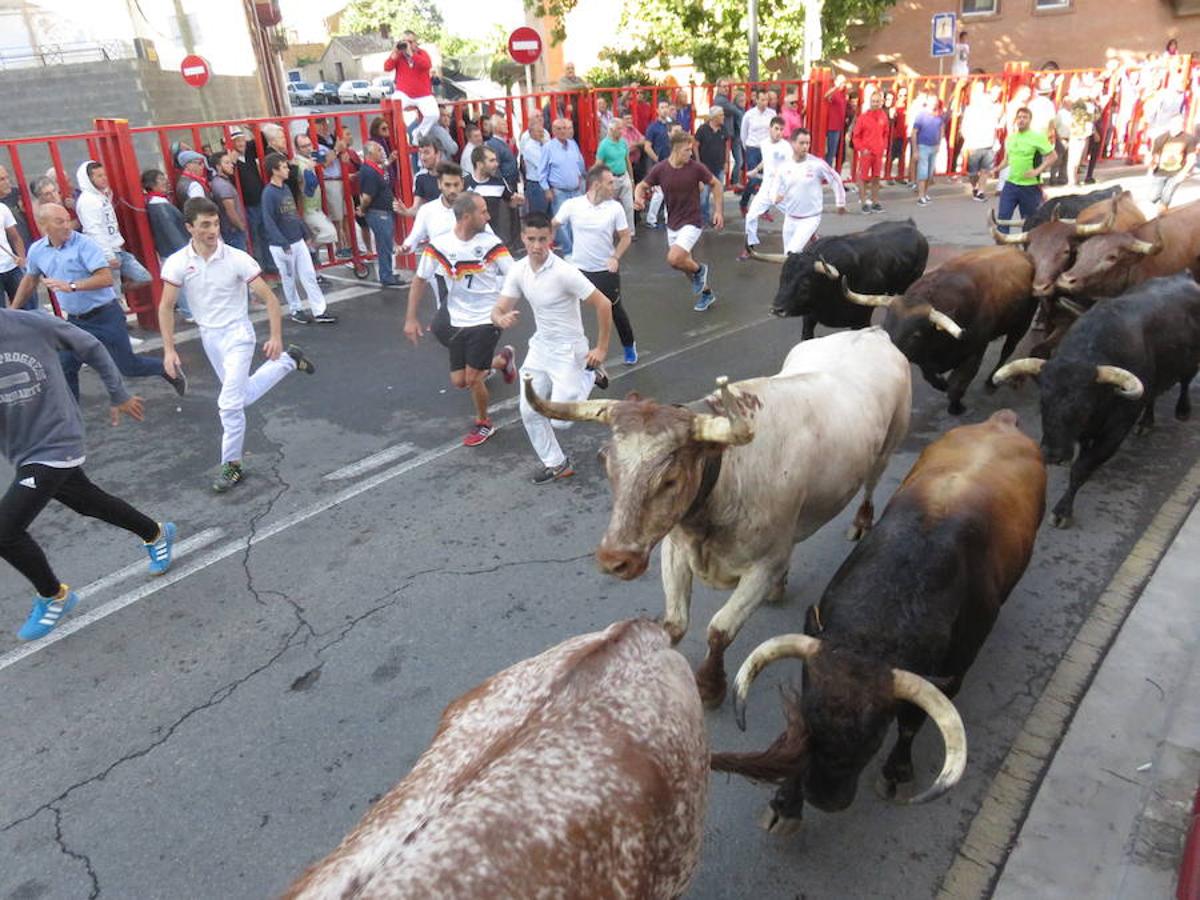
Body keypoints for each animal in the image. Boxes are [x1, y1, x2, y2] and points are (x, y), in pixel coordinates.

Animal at [525, 328, 907, 710]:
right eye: (606, 462)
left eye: (670, 479)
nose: (613, 560)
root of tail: (869, 332)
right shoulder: (674, 550)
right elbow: (675, 623)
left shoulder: (762, 566)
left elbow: (719, 629)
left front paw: (710, 685)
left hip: (888, 447)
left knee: (871, 486)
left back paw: (861, 522)